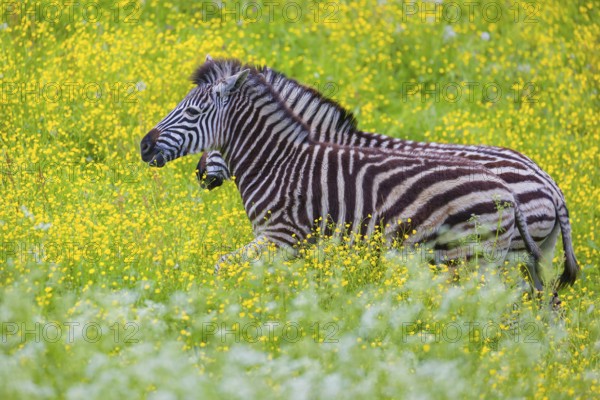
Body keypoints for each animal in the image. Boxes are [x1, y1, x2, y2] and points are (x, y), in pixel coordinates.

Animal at [142, 58, 544, 284]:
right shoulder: (310, 245)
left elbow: (224, 265)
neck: (279, 161)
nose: (144, 146)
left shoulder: (281, 237)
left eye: (193, 113)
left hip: (475, 256)